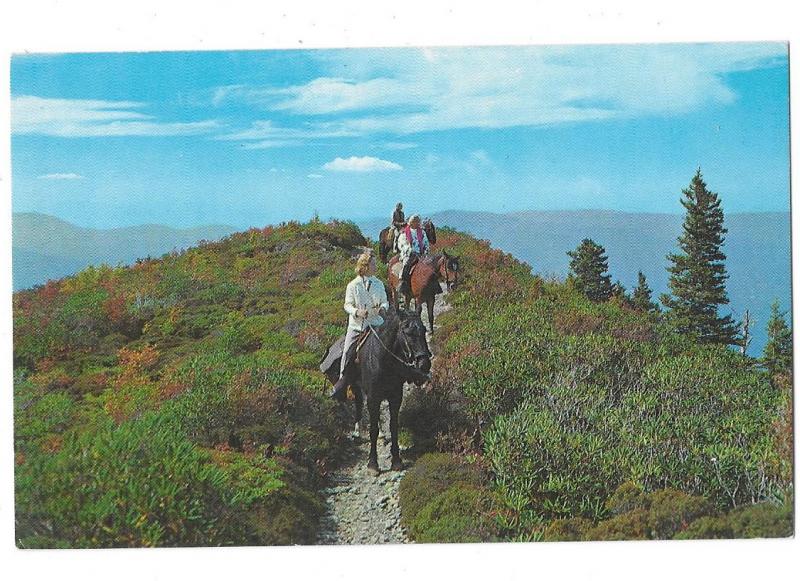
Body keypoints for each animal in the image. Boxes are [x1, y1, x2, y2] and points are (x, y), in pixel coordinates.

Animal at [322, 308, 432, 472]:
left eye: (424, 330)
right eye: (407, 332)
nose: (424, 364)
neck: (383, 360)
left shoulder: (395, 396)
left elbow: (393, 426)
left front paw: (396, 460)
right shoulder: (373, 396)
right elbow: (372, 429)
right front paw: (373, 463)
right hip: (356, 386)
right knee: (359, 404)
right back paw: (356, 432)